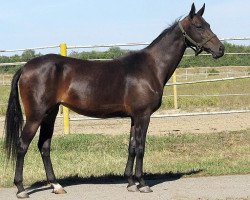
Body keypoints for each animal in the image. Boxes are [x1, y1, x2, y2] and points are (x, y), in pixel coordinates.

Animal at [3, 3, 224, 198]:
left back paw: (56, 186)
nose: (220, 49)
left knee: (44, 146)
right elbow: (141, 147)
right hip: (36, 116)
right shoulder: (143, 116)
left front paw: (130, 183)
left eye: (208, 24)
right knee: (23, 146)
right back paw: (21, 189)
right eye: (199, 26)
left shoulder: (134, 117)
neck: (150, 67)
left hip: (50, 114)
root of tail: (26, 67)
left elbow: (132, 146)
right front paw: (142, 184)